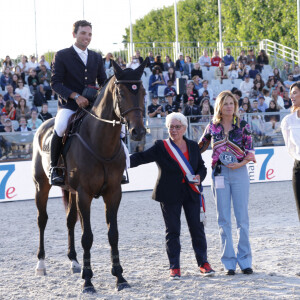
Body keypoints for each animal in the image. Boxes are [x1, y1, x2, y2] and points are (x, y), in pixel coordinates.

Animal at [32, 59, 148, 292]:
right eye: (121, 93)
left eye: (143, 92)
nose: (138, 132)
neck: (100, 143)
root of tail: (43, 126)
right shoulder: (85, 194)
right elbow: (87, 237)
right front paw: (88, 281)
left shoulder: (113, 192)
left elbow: (113, 234)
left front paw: (120, 277)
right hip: (42, 186)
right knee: (42, 220)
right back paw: (41, 264)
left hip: (71, 191)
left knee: (70, 221)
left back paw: (74, 262)